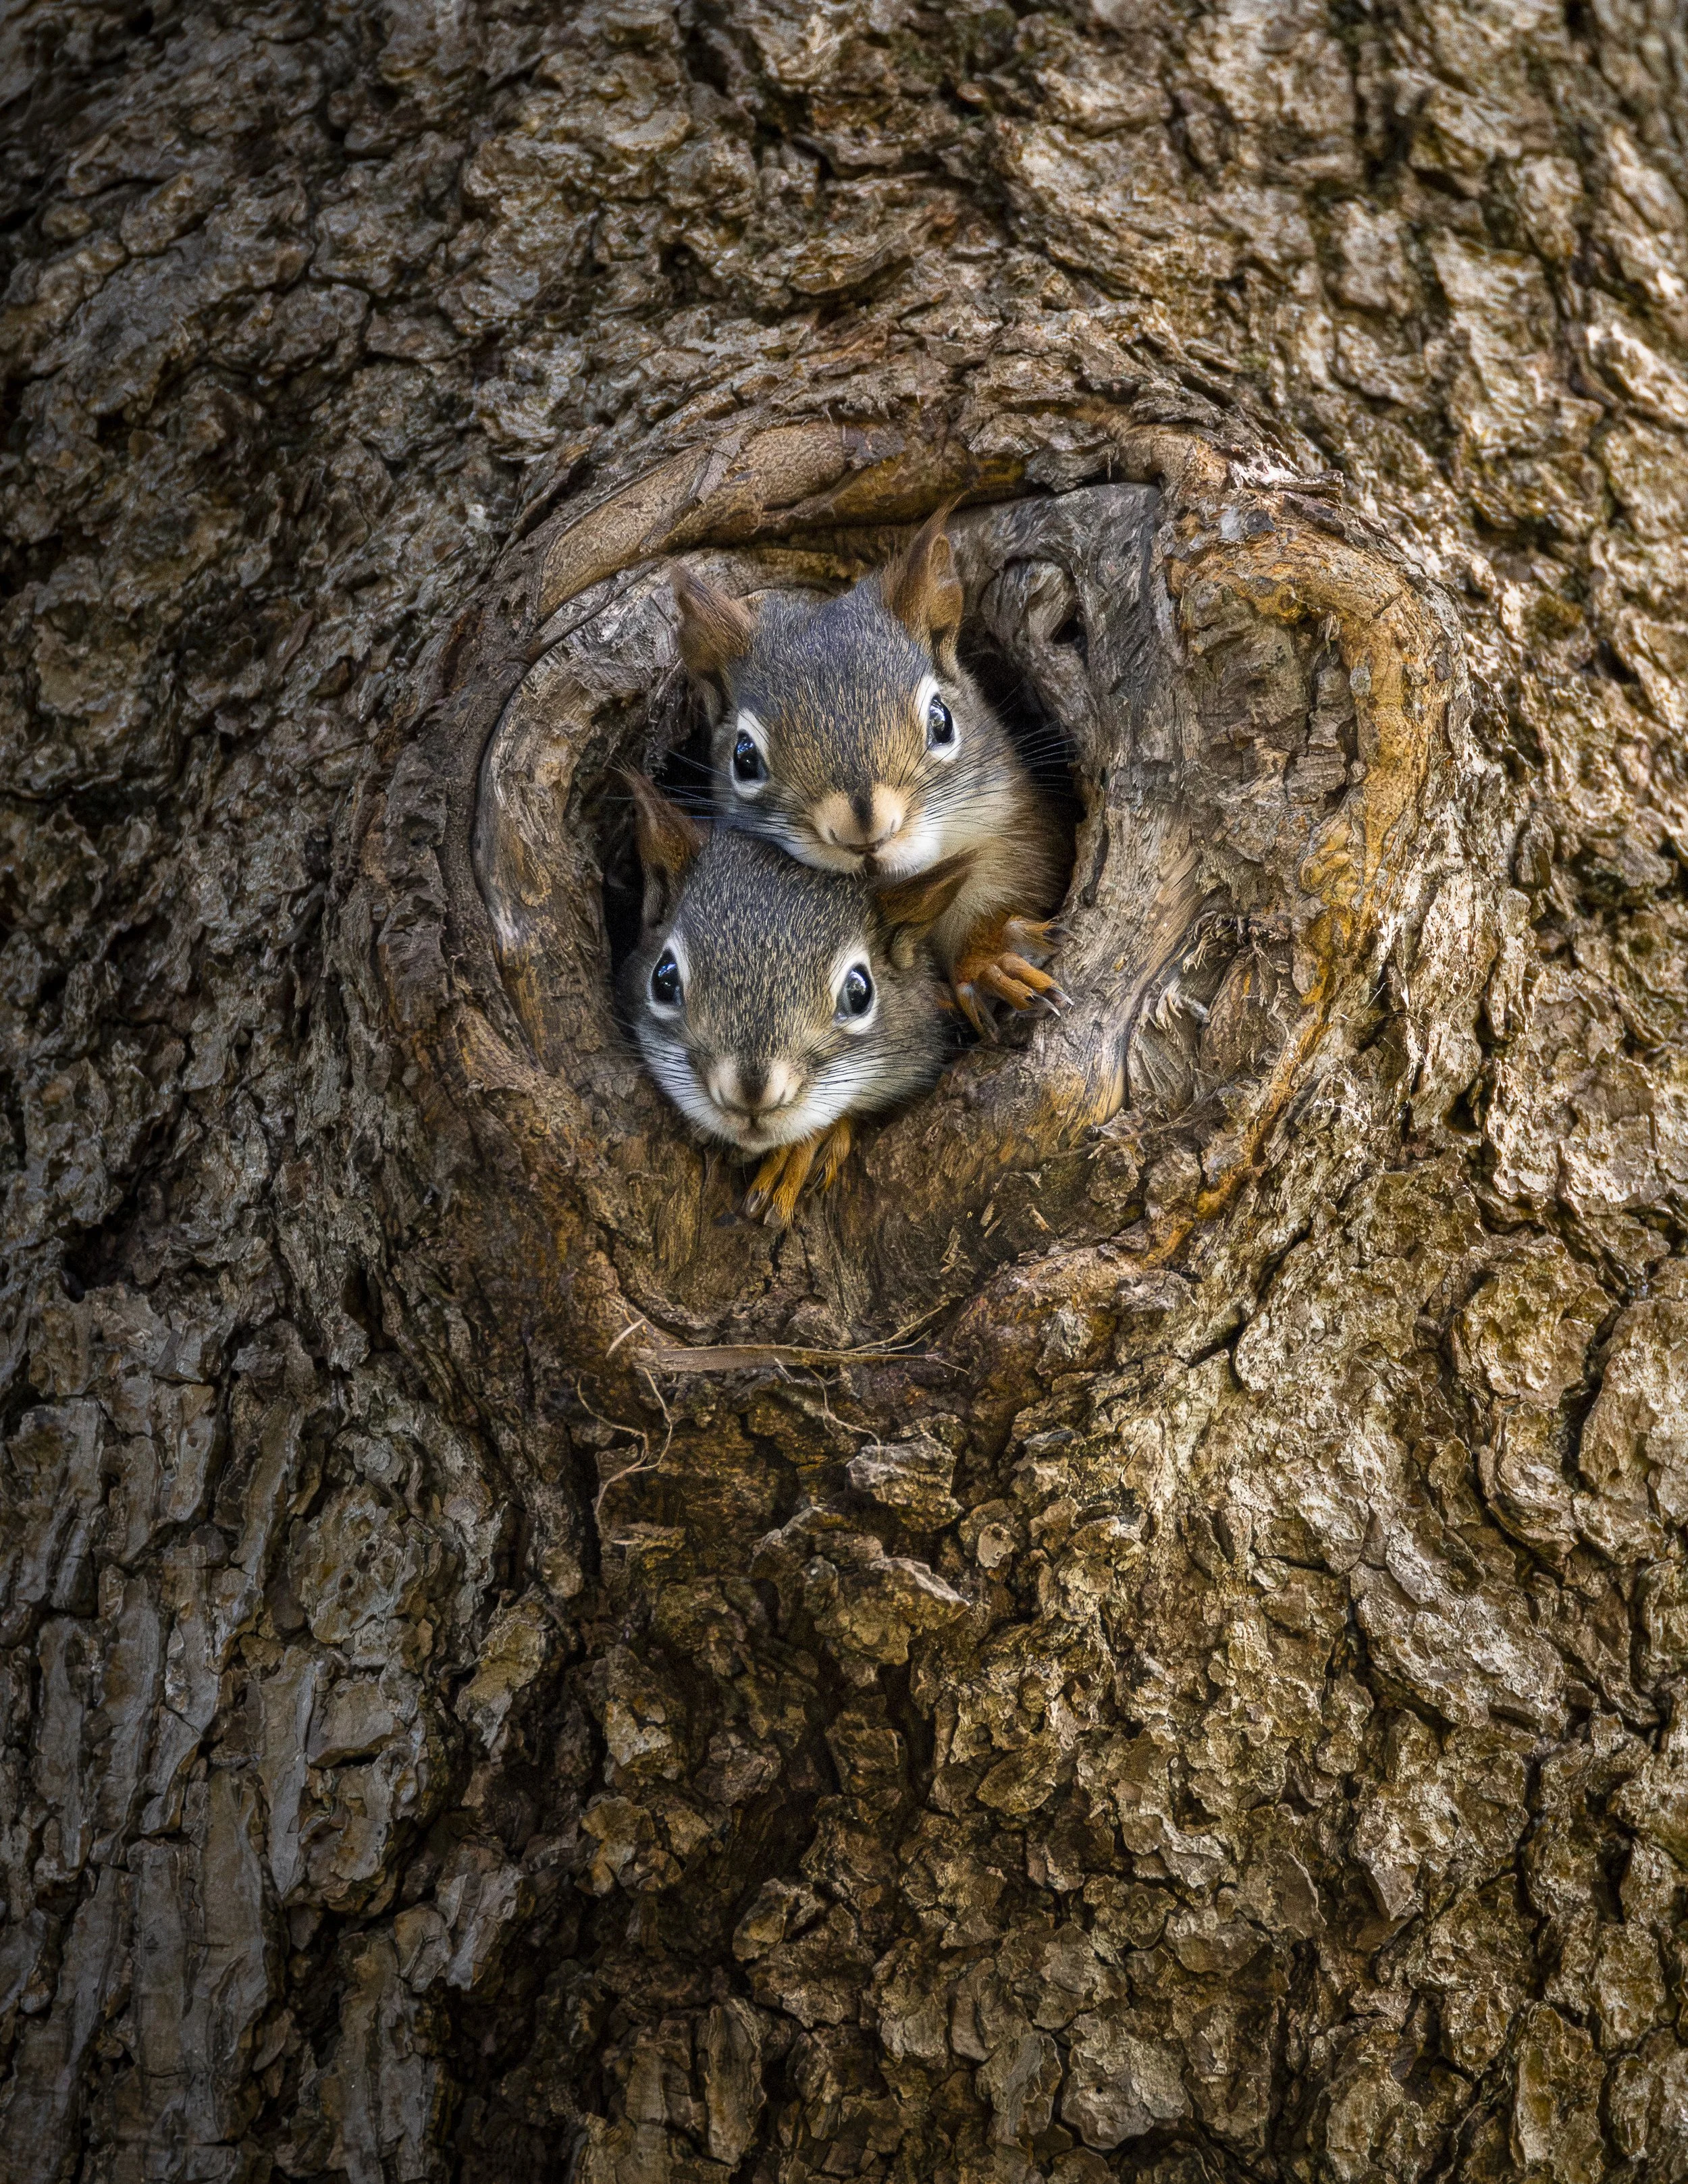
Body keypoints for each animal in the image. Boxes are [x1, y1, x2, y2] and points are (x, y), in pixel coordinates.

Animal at [668, 508, 1069, 1034]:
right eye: (744, 757)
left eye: (942, 721)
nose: (864, 834)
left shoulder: (1011, 827)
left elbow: (1008, 890)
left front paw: (993, 961)